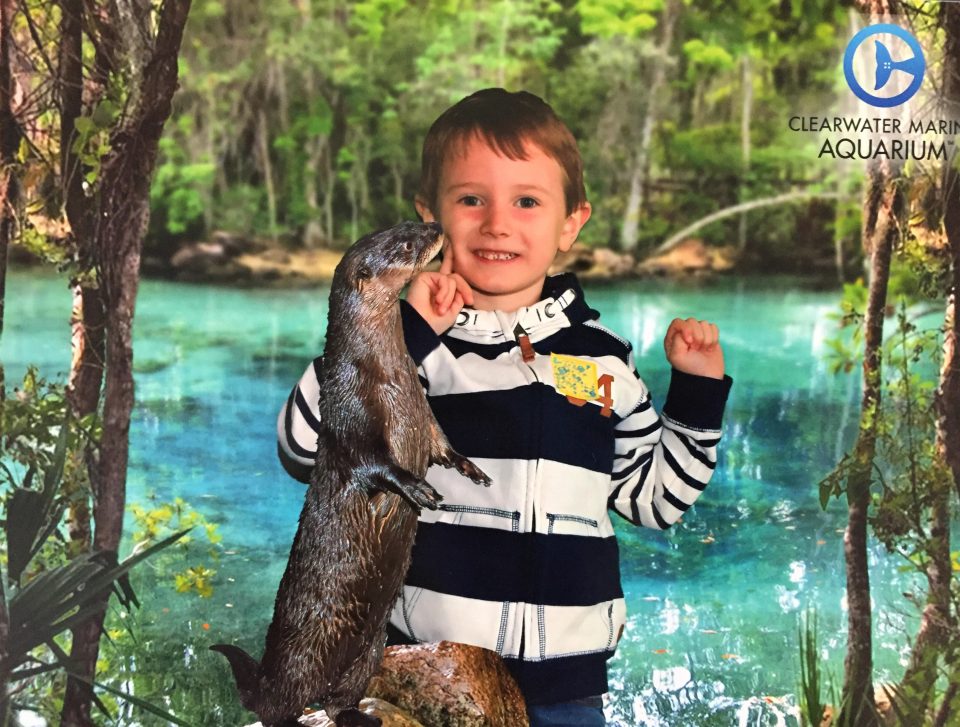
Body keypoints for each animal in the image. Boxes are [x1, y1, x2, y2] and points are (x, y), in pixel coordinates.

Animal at [215, 222, 492, 727]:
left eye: (410, 224)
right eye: (405, 243)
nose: (436, 228)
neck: (389, 376)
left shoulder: (425, 414)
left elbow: (442, 445)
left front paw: (470, 469)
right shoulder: (348, 412)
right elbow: (370, 462)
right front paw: (417, 488)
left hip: (372, 649)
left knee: (339, 697)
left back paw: (360, 716)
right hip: (301, 655)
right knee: (281, 705)